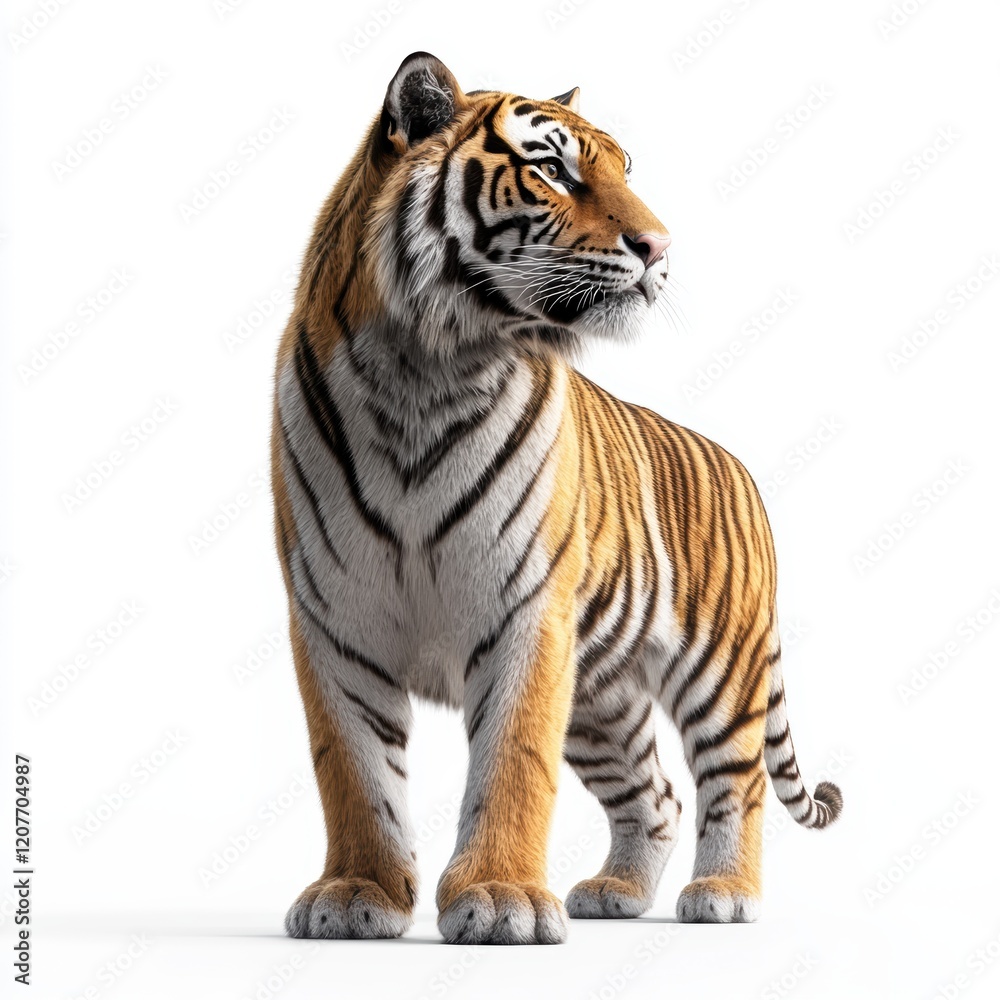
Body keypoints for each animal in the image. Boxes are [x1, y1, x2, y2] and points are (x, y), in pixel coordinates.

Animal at [270, 51, 842, 945]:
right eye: (553, 170)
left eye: (624, 171)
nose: (661, 246)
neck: (420, 372)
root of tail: (741, 468)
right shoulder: (333, 618)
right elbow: (353, 771)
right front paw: (356, 895)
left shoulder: (527, 611)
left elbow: (514, 761)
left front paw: (500, 899)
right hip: (603, 699)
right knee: (657, 794)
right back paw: (617, 892)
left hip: (724, 666)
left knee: (735, 783)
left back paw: (724, 893)